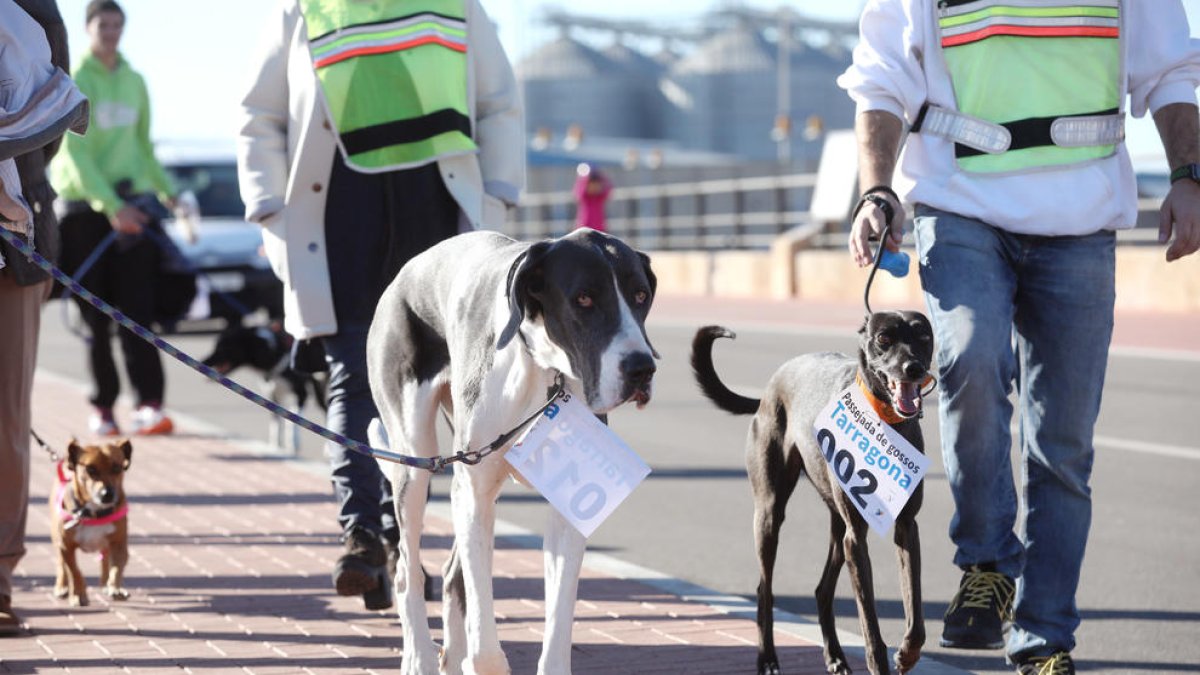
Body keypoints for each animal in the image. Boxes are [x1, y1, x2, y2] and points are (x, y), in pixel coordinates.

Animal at [201, 319, 326, 449]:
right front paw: (275, 447)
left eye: (222, 348)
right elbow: (276, 425)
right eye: (215, 346)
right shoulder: (272, 395)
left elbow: (292, 424)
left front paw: (293, 444)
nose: (203, 361)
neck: (274, 353)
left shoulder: (301, 393)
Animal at [369, 228, 662, 667]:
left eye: (641, 295)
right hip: (413, 462)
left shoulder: (566, 511)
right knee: (409, 571)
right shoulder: (473, 492)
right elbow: (485, 644)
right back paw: (420, 656)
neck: (544, 370)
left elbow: (557, 627)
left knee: (453, 576)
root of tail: (406, 271)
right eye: (584, 298)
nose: (642, 368)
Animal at [691, 309, 931, 672]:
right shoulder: (856, 538)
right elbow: (870, 624)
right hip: (770, 513)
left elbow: (915, 616)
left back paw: (835, 655)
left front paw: (906, 654)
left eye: (925, 336)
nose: (913, 368)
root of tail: (769, 388)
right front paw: (880, 661)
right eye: (884, 338)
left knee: (822, 590)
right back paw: (768, 658)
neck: (884, 421)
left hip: (836, 525)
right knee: (764, 588)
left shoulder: (906, 528)